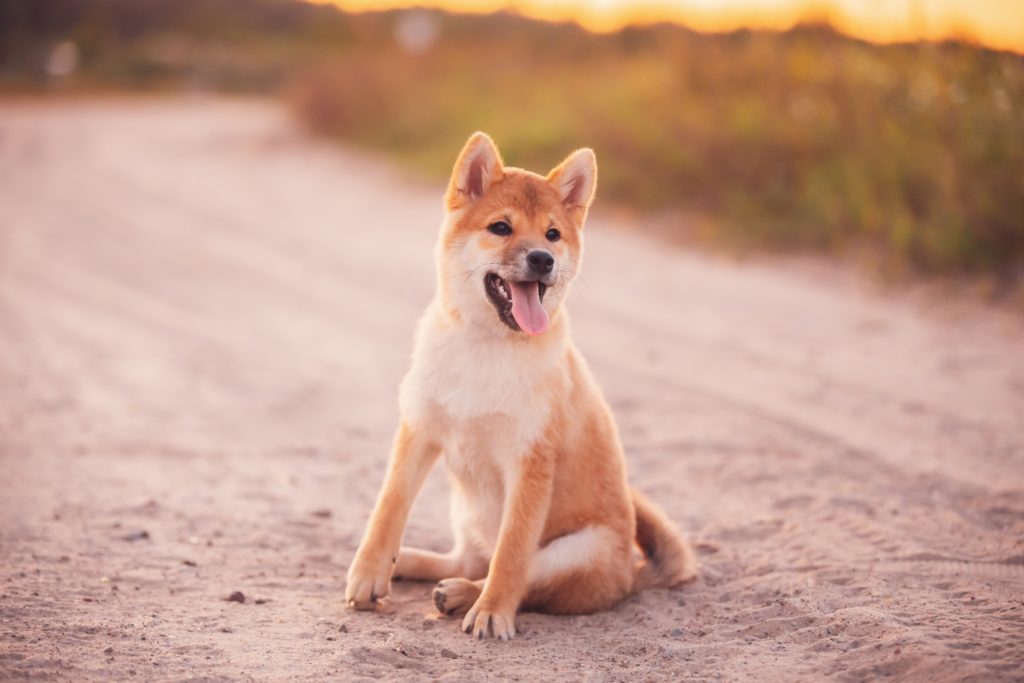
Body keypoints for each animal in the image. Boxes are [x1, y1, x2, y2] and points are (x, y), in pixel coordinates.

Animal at [346, 132, 696, 643]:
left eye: (552, 235)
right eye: (500, 227)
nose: (542, 259)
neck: (485, 345)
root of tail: (628, 578)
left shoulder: (528, 462)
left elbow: (511, 557)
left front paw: (492, 613)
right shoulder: (419, 430)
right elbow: (387, 508)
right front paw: (370, 572)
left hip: (575, 550)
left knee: (516, 578)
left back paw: (462, 595)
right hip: (465, 508)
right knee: (468, 559)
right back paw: (411, 563)